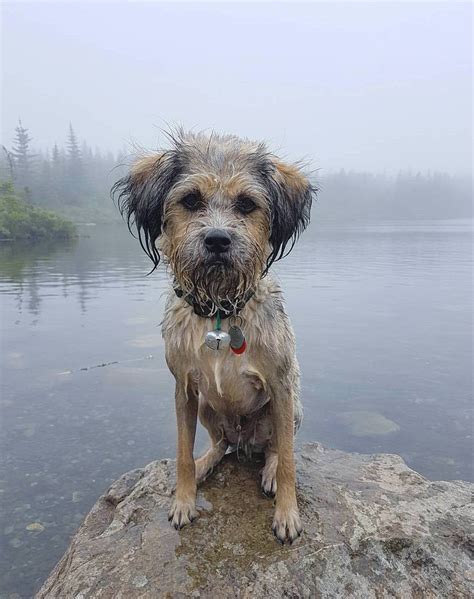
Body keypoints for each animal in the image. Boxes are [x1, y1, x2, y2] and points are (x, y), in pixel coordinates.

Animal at [113, 131, 316, 544]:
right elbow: (181, 452)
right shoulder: (184, 389)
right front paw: (183, 500)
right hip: (208, 407)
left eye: (247, 204)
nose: (218, 240)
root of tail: (244, 441)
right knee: (219, 444)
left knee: (275, 447)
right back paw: (206, 462)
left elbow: (289, 459)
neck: (220, 310)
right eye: (191, 200)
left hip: (289, 410)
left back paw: (269, 470)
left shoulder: (281, 385)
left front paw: (287, 513)